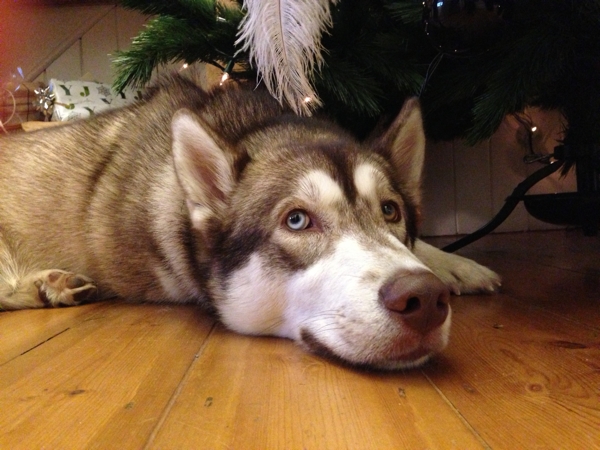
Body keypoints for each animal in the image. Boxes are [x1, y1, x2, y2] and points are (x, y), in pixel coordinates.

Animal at [0, 74, 500, 370]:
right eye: (296, 220)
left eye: (390, 210)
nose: (425, 297)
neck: (254, 128)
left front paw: (457, 265)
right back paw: (47, 285)